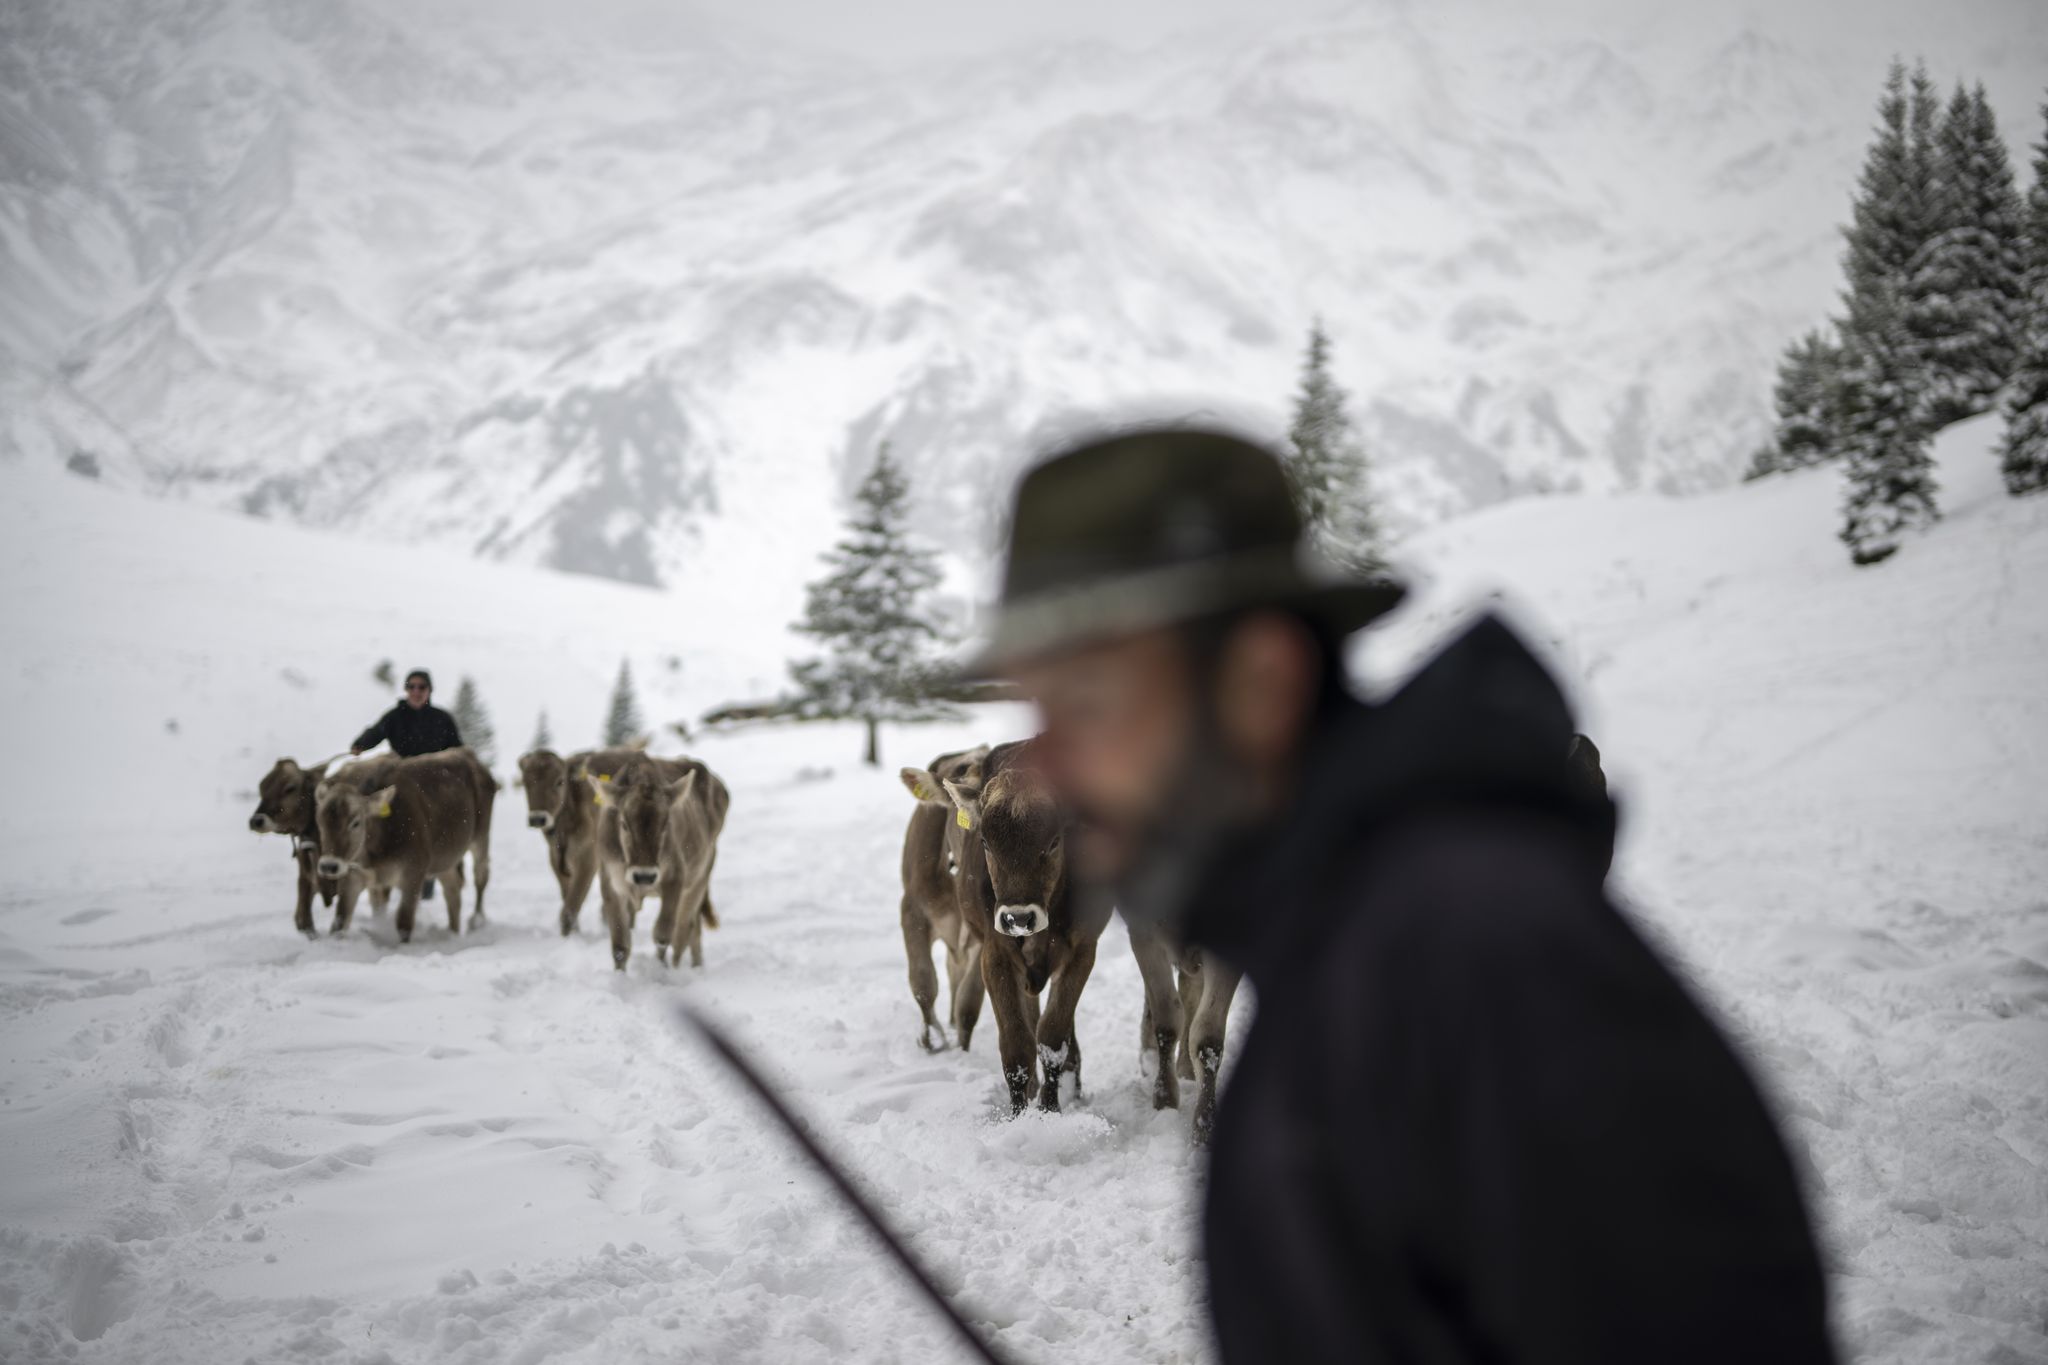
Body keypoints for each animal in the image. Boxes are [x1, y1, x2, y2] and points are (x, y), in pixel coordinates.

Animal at [317, 749, 497, 941]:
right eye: (319, 821)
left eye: (356, 822)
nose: (329, 865)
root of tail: (465, 751)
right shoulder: (353, 874)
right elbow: (340, 921)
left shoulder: (414, 870)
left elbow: (404, 922)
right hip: (444, 857)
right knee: (453, 888)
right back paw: (452, 932)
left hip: (481, 836)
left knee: (481, 875)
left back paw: (477, 919)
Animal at [585, 757, 729, 970]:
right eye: (624, 824)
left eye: (665, 824)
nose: (644, 876)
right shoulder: (611, 882)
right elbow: (620, 946)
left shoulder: (676, 878)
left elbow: (662, 935)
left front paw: (660, 969)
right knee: (693, 930)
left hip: (700, 876)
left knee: (684, 929)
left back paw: (680, 968)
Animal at [937, 740, 1105, 1113]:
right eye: (985, 842)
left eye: (1054, 841)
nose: (1018, 918)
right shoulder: (995, 953)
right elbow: (1016, 1045)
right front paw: (1019, 1113)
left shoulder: (1082, 950)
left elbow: (1052, 1039)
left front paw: (1050, 1109)